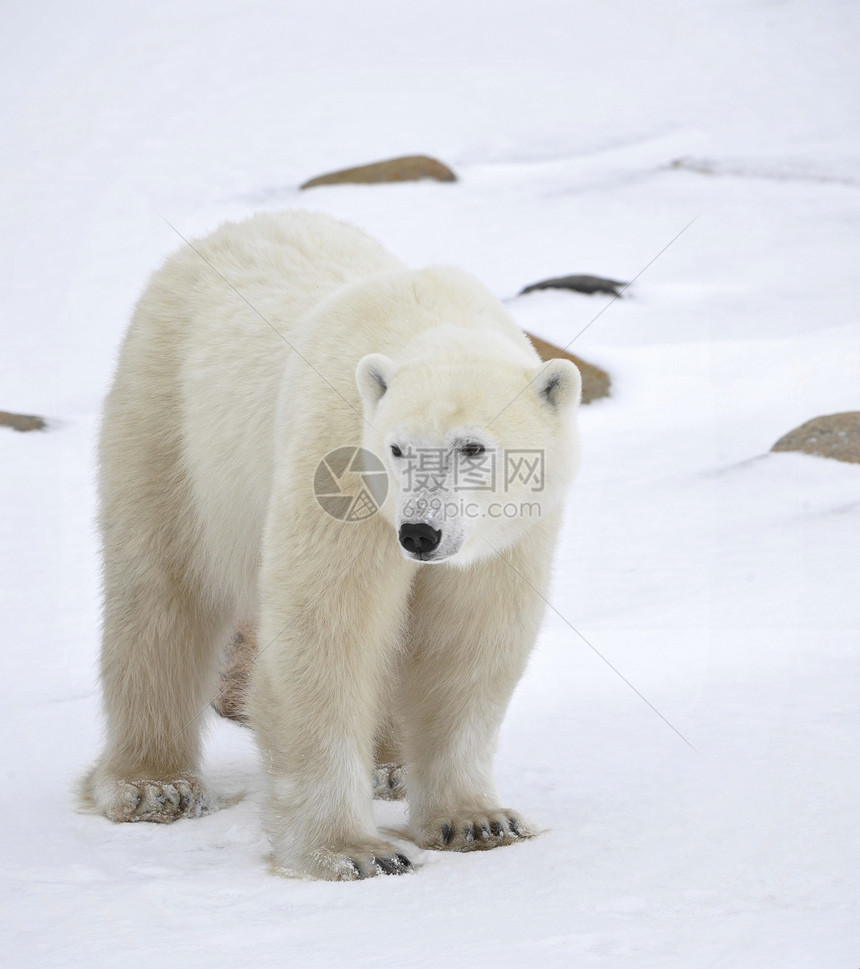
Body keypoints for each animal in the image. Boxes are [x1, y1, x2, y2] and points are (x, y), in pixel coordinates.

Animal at [84, 210, 580, 876]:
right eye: (396, 449)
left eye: (473, 447)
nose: (419, 533)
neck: (425, 318)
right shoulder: (337, 469)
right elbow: (326, 633)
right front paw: (356, 852)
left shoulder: (505, 538)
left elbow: (467, 643)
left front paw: (477, 821)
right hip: (169, 419)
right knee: (161, 593)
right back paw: (153, 785)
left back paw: (391, 768)